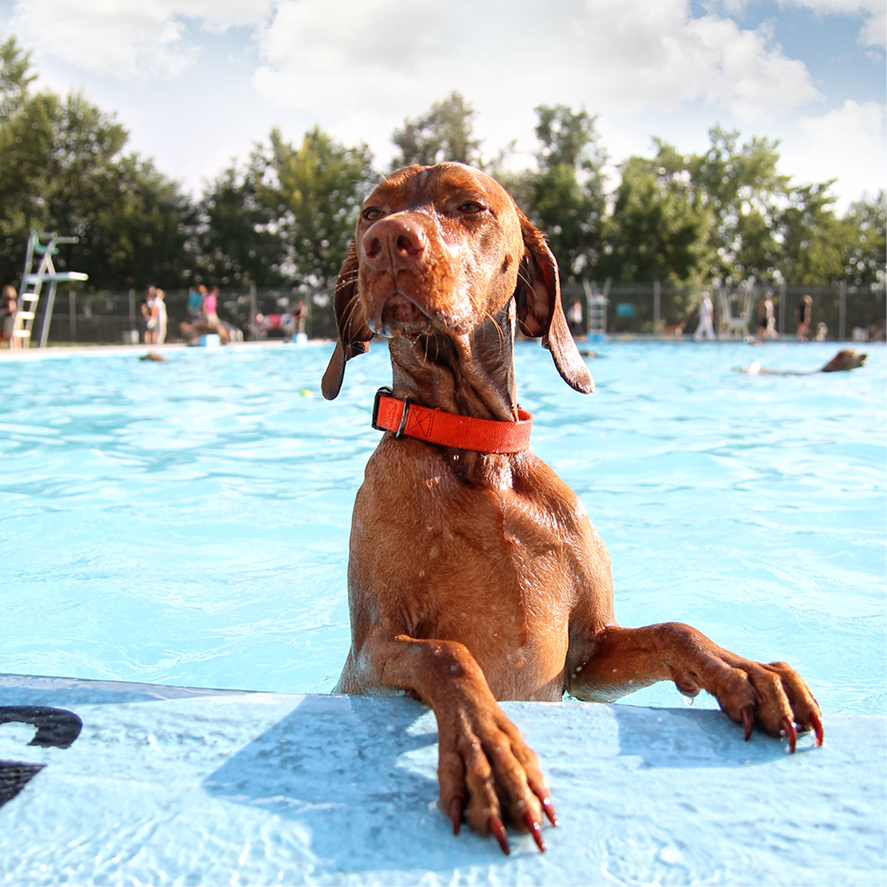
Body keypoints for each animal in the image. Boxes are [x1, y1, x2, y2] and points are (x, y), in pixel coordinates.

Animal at [322, 163, 823, 854]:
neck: (479, 457)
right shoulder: (370, 657)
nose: (385, 242)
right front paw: (488, 752)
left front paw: (743, 671)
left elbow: (676, 630)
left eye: (468, 205)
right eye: (370, 213)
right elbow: (448, 656)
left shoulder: (588, 658)